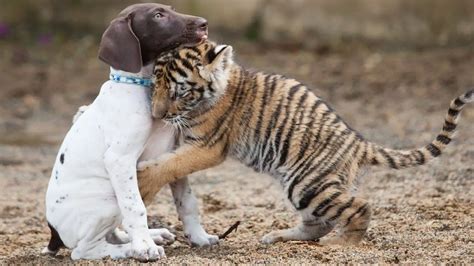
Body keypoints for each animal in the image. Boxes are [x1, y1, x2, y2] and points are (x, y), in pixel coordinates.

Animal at [42, 3, 217, 262]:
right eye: (158, 15)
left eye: (171, 9)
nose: (204, 23)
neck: (142, 88)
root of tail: (54, 232)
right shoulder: (119, 160)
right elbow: (135, 208)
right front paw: (144, 248)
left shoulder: (173, 156)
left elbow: (187, 202)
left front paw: (199, 237)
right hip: (107, 201)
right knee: (84, 250)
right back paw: (130, 248)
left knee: (112, 233)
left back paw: (149, 236)